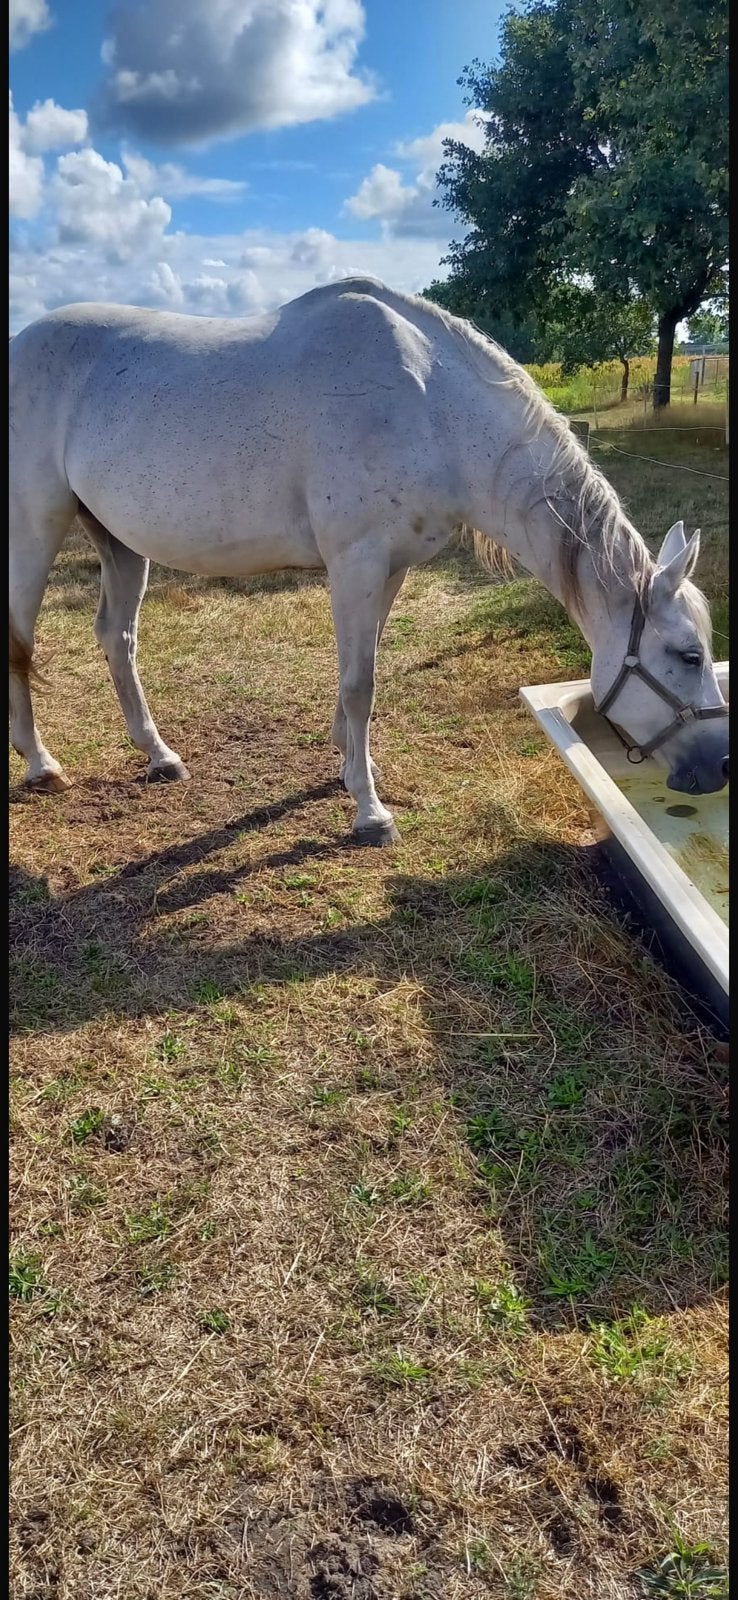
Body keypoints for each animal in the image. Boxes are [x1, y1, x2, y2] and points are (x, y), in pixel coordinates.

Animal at [9, 276, 728, 845]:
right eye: (689, 657)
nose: (721, 767)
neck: (429, 402)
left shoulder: (392, 568)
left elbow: (362, 672)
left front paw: (352, 766)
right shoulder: (355, 563)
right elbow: (361, 685)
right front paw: (370, 812)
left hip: (119, 542)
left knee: (118, 638)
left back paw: (159, 755)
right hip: (34, 529)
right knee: (21, 641)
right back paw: (42, 765)